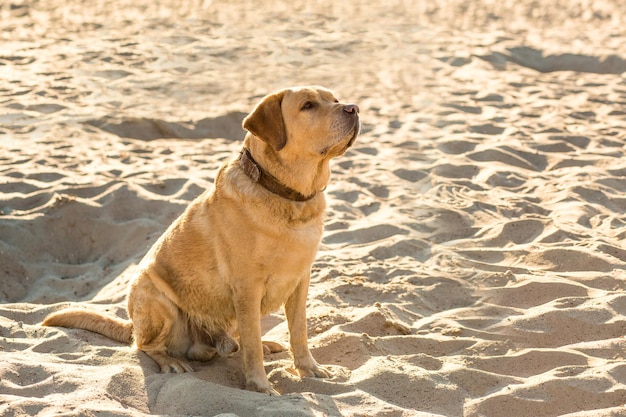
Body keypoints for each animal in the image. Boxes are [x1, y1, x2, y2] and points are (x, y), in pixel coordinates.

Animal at [41, 85, 358, 394]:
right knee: (146, 345)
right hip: (158, 302)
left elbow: (298, 331)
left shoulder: (300, 281)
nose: (353, 108)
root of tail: (131, 324)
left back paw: (258, 344)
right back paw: (172, 362)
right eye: (308, 105)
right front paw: (259, 385)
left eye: (335, 99)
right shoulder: (247, 287)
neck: (287, 196)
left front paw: (309, 369)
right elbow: (252, 345)